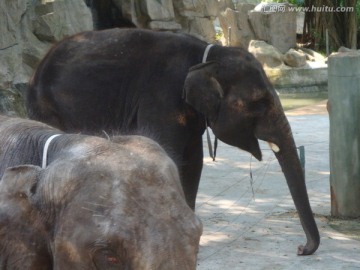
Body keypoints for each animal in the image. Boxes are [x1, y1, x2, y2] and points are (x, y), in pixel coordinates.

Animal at [26, 28, 320, 254]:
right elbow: (170, 156)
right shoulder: (163, 98)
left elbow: (193, 163)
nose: (300, 249)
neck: (208, 56)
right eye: (261, 103)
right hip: (48, 107)